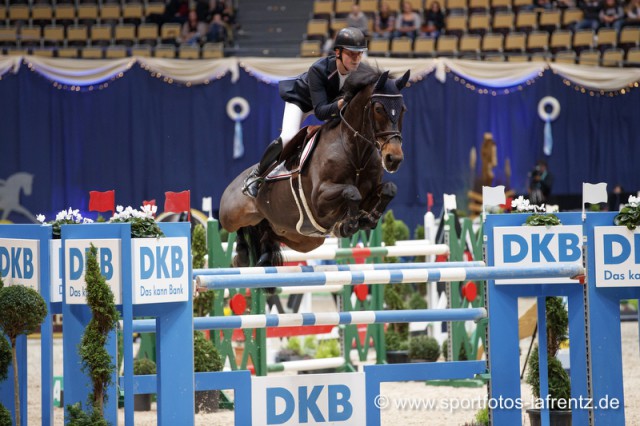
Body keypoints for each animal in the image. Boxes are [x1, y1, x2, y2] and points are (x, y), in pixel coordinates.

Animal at [220, 65, 410, 268]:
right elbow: (351, 191)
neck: (355, 152)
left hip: (302, 239)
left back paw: (264, 255)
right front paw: (348, 224)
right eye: (378, 108)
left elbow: (389, 189)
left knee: (267, 234)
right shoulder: (319, 198)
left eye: (403, 110)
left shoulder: (369, 193)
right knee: (237, 229)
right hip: (232, 216)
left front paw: (368, 218)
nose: (393, 158)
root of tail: (235, 182)